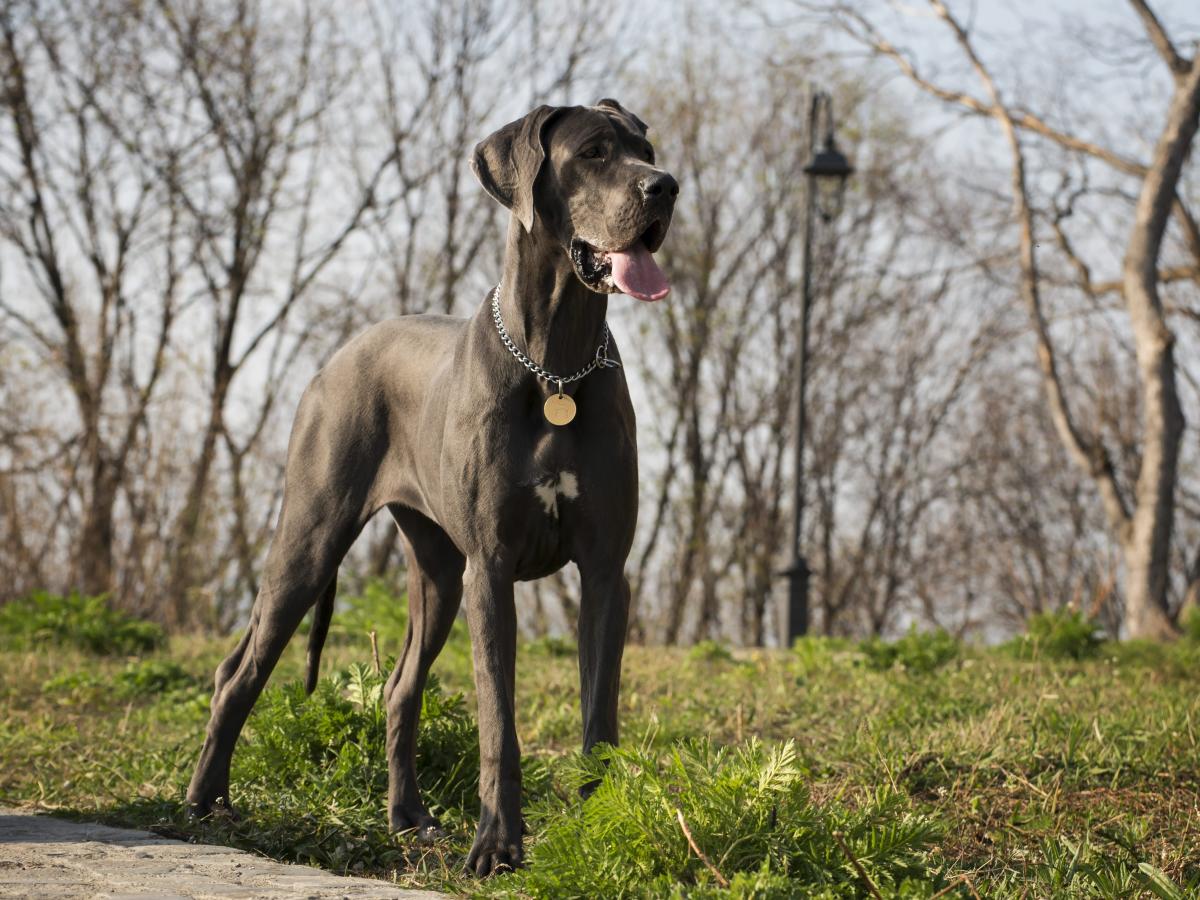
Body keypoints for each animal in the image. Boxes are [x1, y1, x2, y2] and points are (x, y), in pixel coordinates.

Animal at [184, 100, 676, 883]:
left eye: (646, 150)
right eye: (596, 152)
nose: (666, 188)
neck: (556, 365)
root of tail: (336, 357)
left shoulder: (605, 572)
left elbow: (599, 714)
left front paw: (600, 826)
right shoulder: (492, 570)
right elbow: (498, 720)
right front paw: (499, 845)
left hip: (438, 575)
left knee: (398, 689)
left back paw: (409, 818)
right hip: (311, 539)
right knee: (238, 672)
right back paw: (206, 804)